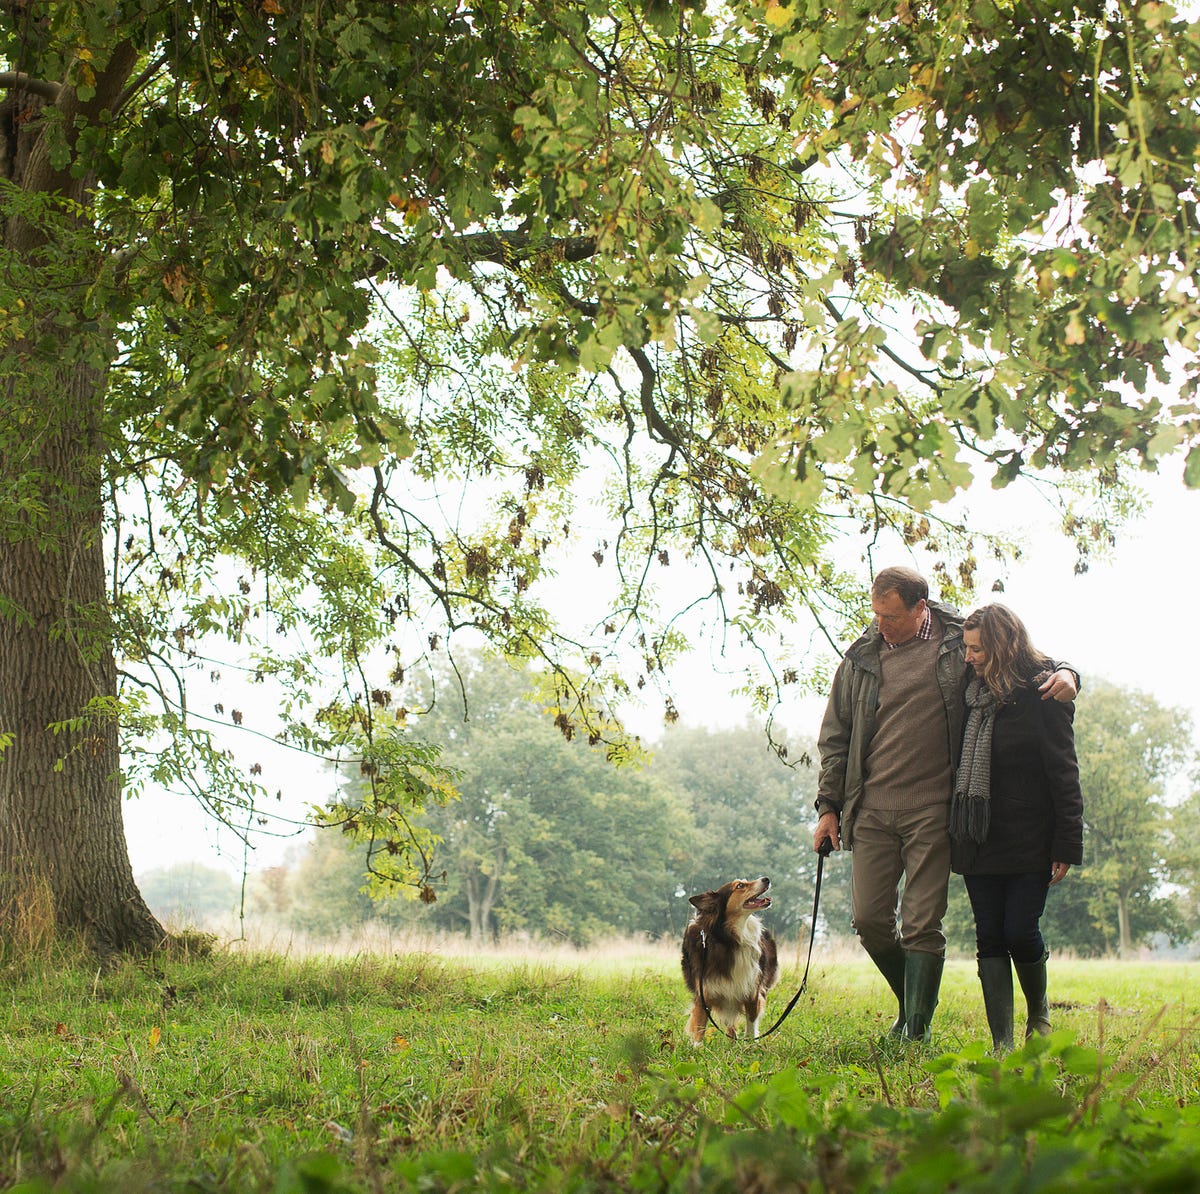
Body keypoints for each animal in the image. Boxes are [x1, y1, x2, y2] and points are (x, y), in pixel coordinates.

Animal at [686, 878, 777, 1046]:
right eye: (740, 886)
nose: (766, 879)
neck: (730, 940)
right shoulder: (704, 993)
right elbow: (700, 1024)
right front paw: (697, 1047)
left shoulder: (751, 990)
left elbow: (751, 1022)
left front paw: (750, 1045)